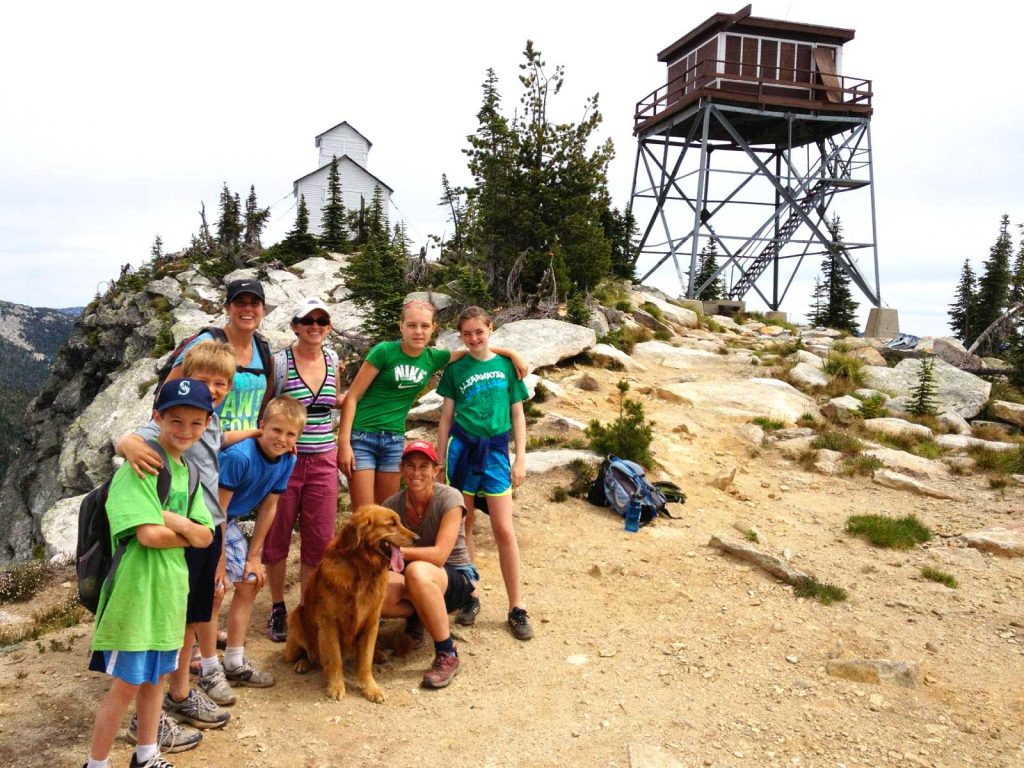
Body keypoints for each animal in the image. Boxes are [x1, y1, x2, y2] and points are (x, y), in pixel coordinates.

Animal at [282, 505, 413, 704]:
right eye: (391, 524)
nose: (417, 538)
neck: (361, 569)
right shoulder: (329, 624)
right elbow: (335, 660)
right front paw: (336, 686)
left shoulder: (371, 622)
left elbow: (365, 661)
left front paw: (371, 688)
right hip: (295, 619)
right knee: (306, 652)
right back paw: (302, 663)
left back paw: (379, 654)